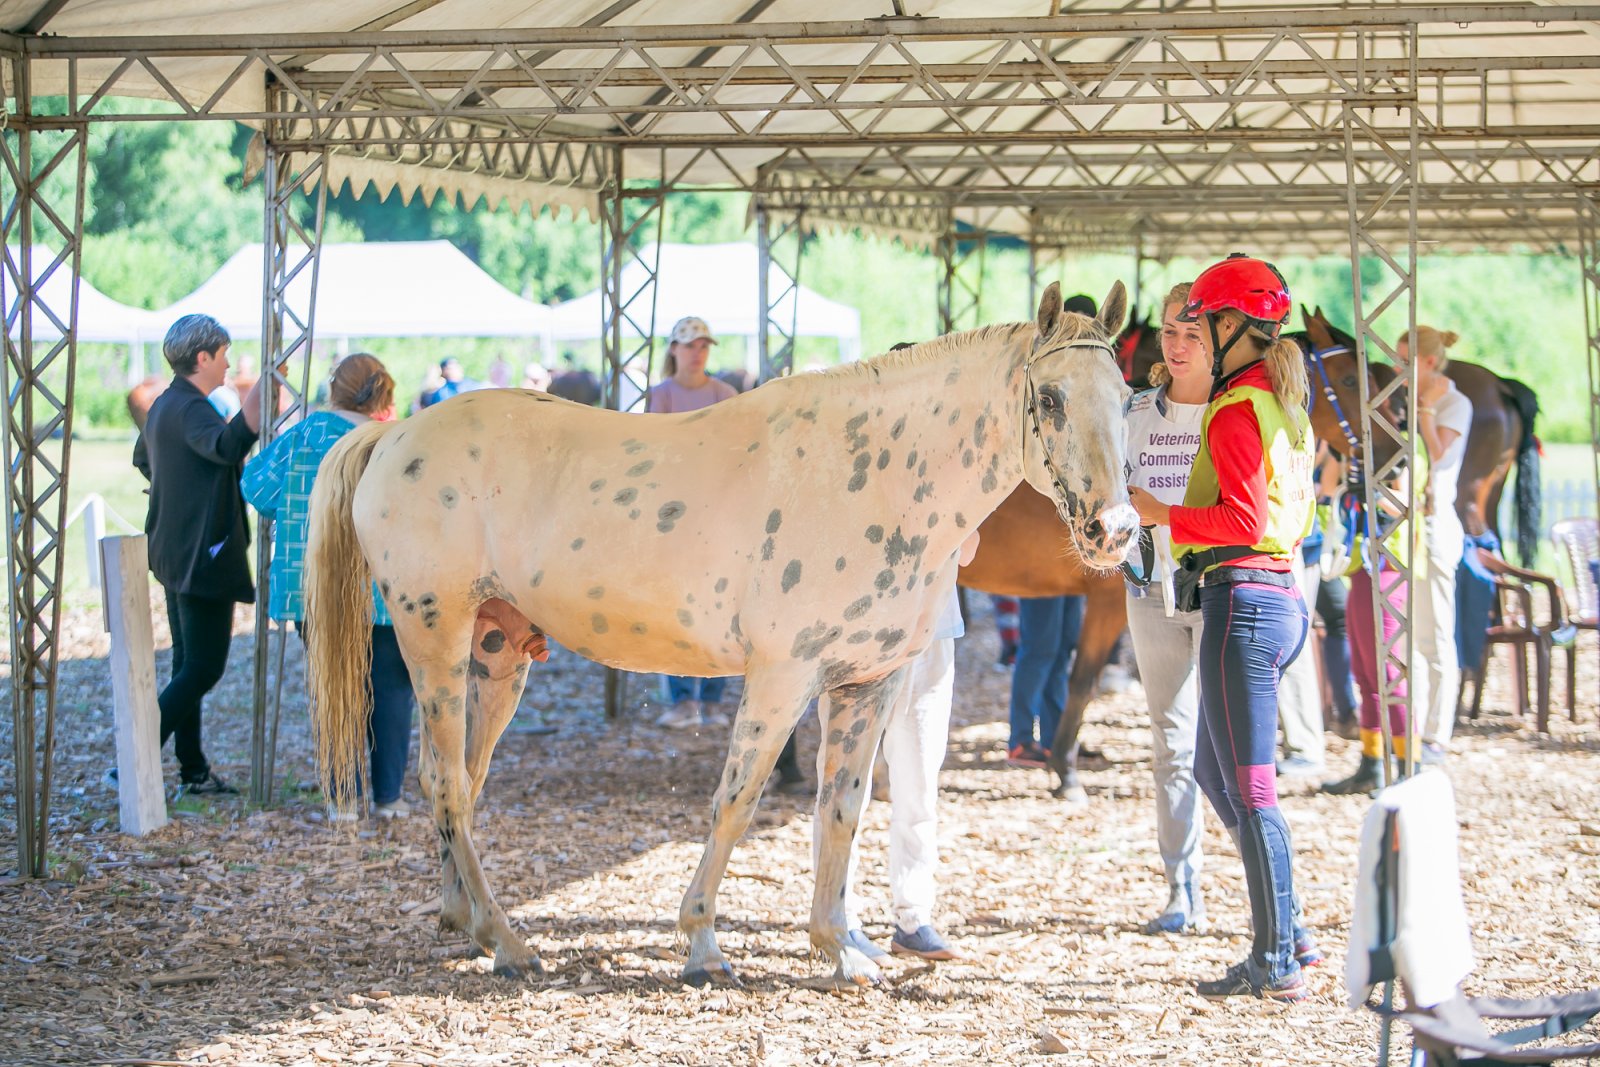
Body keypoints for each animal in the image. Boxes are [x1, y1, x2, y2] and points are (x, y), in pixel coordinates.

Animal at [303, 282, 1138, 986]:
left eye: (1127, 398)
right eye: (1051, 397)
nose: (1117, 529)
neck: (868, 476)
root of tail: (393, 438)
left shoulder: (868, 683)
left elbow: (843, 809)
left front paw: (842, 947)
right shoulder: (781, 677)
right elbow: (736, 801)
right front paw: (703, 944)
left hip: (497, 652)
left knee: (461, 782)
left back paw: (468, 921)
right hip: (433, 636)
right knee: (444, 781)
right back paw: (509, 942)